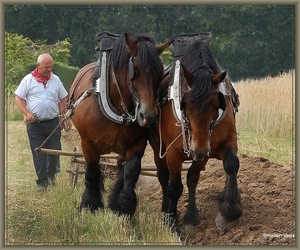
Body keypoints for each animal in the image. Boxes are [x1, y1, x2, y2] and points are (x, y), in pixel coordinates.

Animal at [68, 32, 171, 217]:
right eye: (134, 70)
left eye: (160, 72)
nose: (148, 115)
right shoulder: (87, 143)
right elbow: (92, 171)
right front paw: (90, 205)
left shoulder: (138, 143)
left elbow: (131, 171)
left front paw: (123, 206)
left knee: (121, 166)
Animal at [149, 37, 243, 236]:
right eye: (184, 104)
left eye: (217, 104)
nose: (196, 149)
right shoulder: (173, 152)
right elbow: (174, 187)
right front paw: (173, 225)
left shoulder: (218, 143)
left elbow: (229, 165)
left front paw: (229, 212)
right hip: (158, 148)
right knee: (163, 177)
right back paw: (166, 210)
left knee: (191, 177)